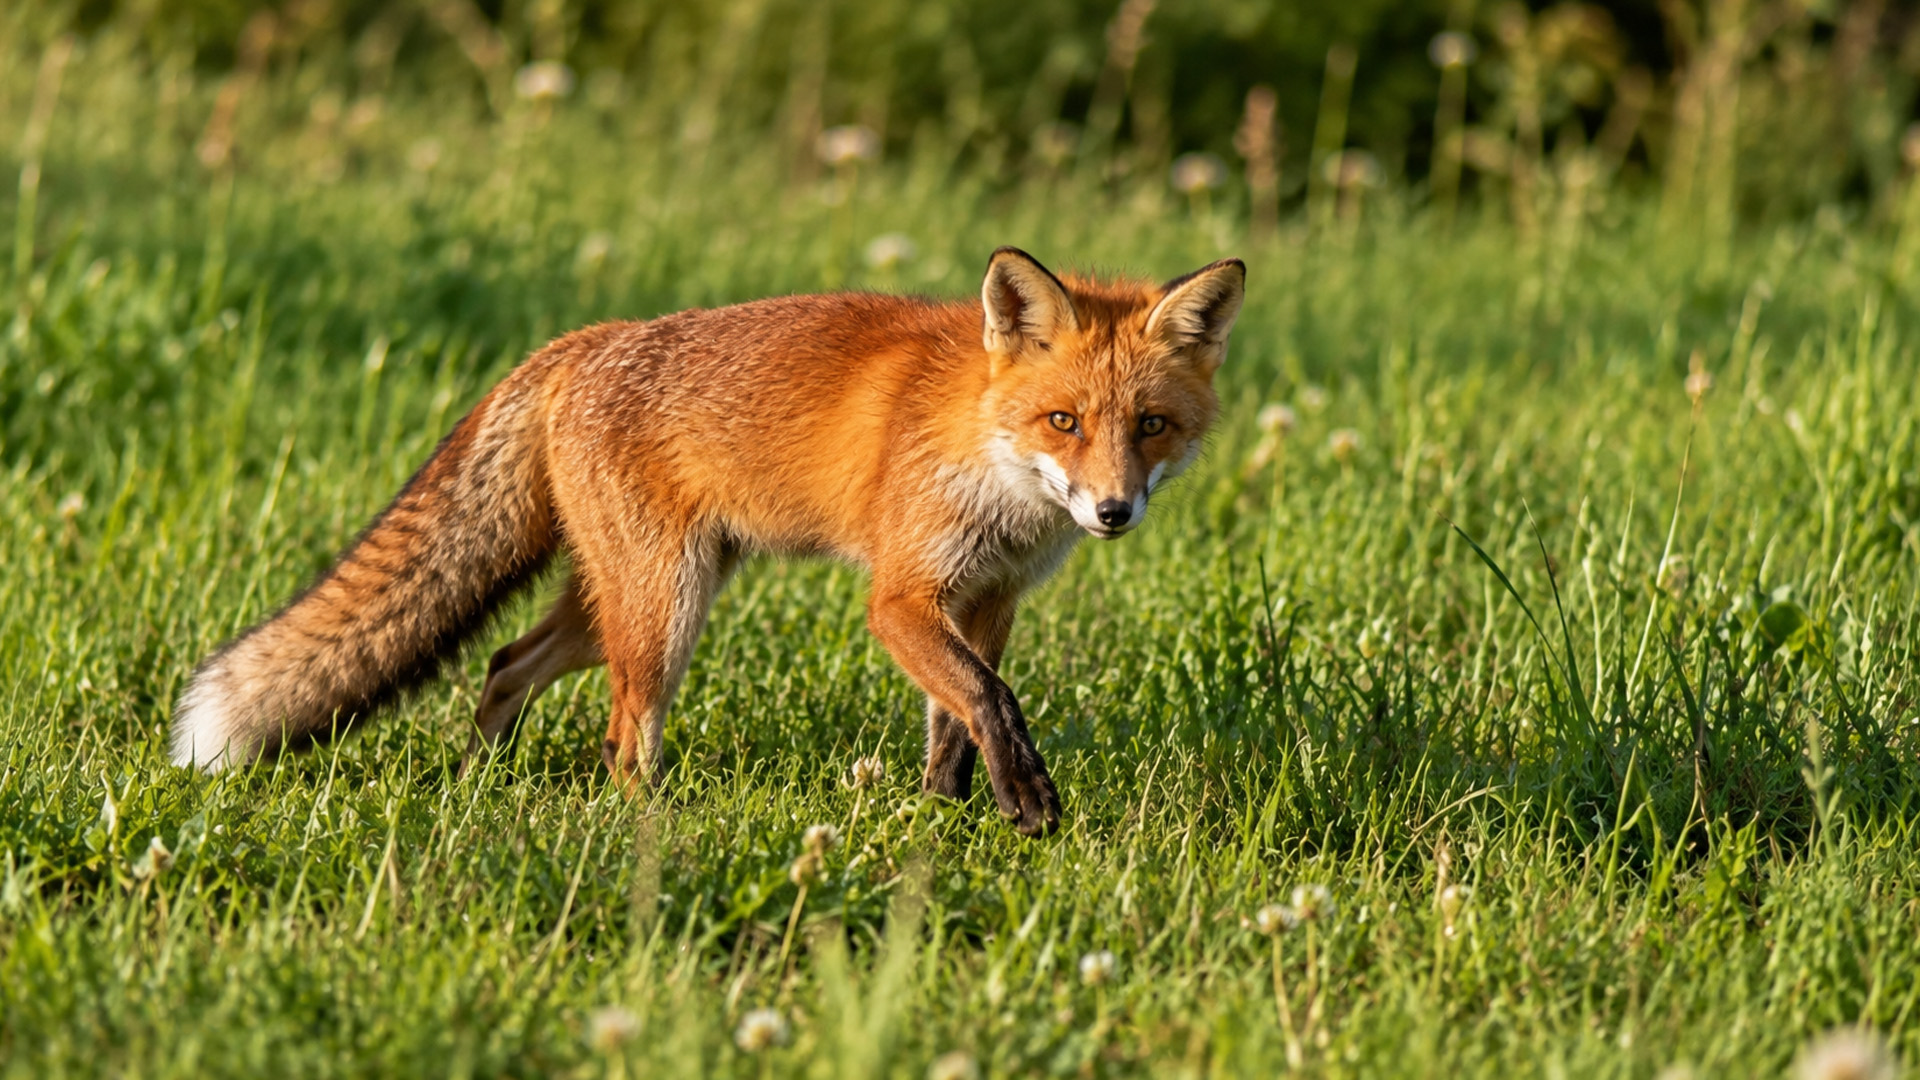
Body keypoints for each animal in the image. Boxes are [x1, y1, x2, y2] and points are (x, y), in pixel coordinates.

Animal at [172, 247, 1245, 835]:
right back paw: (643, 824)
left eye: (1150, 426)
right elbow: (991, 702)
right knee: (622, 737)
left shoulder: (988, 600)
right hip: (664, 613)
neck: (985, 450)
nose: (1112, 511)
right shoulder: (902, 599)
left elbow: (959, 723)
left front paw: (946, 818)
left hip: (621, 603)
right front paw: (1023, 801)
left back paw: (485, 779)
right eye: (1064, 422)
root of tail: (581, 340)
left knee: (506, 662)